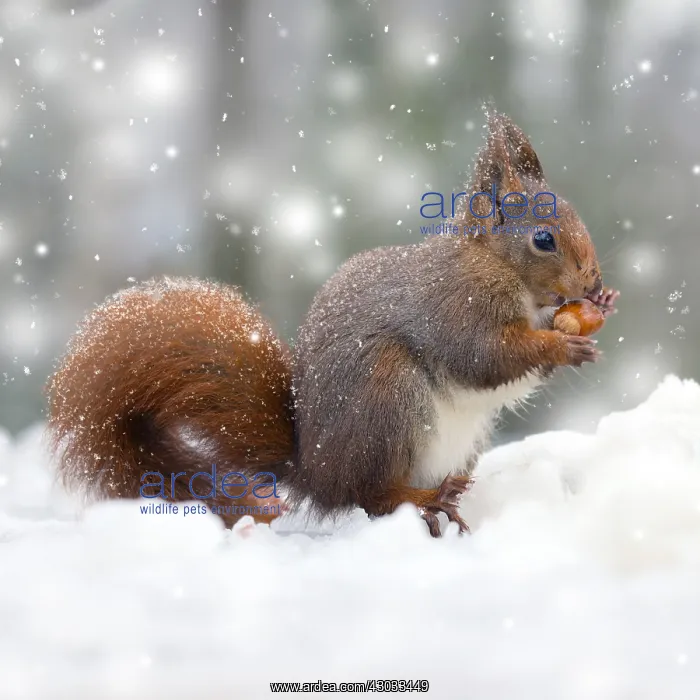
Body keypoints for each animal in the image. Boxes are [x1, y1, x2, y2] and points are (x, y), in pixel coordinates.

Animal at [47, 111, 619, 537]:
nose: (593, 280)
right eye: (543, 239)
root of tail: (316, 472)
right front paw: (562, 347)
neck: (496, 265)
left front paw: (601, 306)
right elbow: (484, 356)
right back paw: (427, 498)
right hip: (388, 397)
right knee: (372, 496)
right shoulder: (456, 305)